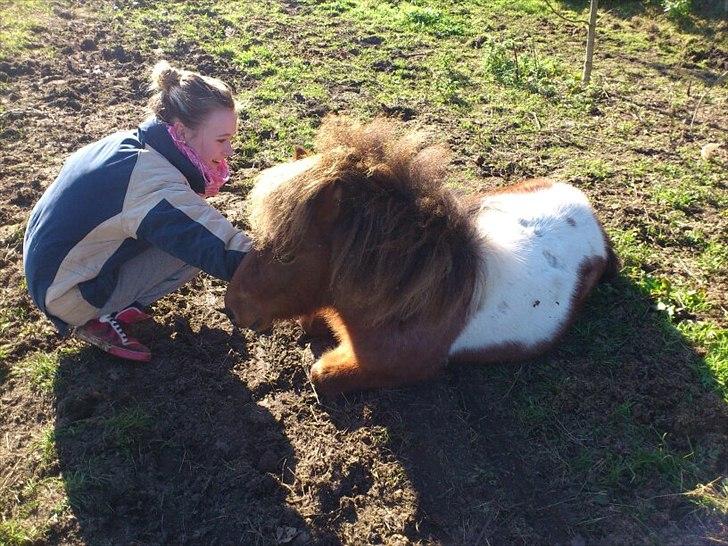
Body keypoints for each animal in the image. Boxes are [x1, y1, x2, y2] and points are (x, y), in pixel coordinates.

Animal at [225, 117, 616, 394]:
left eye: (289, 255)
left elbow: (321, 373)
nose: (231, 307)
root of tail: (586, 210)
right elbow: (310, 321)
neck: (410, 300)